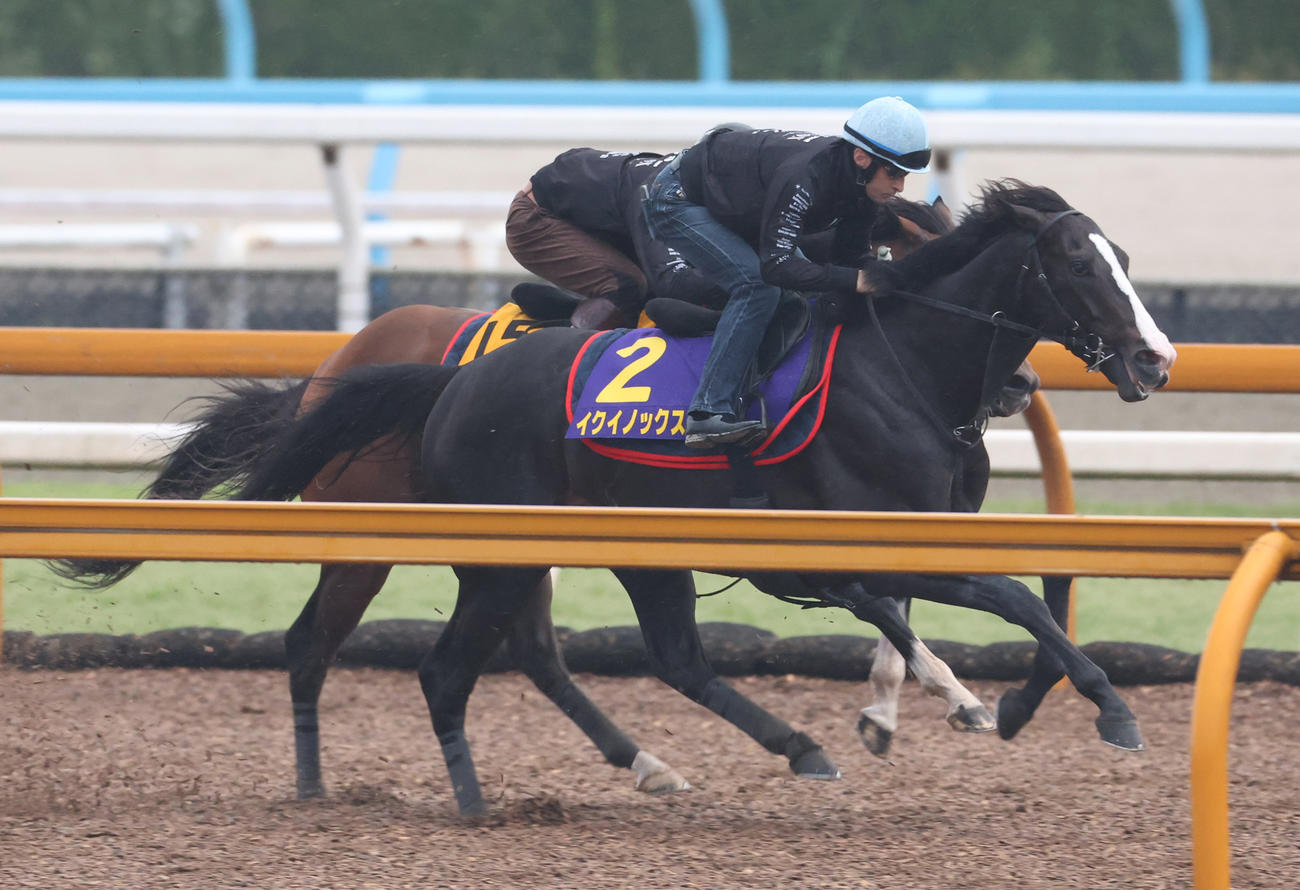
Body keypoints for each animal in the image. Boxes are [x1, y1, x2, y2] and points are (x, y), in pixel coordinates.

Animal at [51, 199, 1004, 801]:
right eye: (900, 251)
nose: (1019, 381)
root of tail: (334, 370)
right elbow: (884, 598)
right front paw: (938, 701)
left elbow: (895, 598)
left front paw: (925, 704)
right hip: (375, 538)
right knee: (317, 641)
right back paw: (318, 782)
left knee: (534, 652)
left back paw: (646, 762)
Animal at [200, 181, 1175, 815]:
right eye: (1079, 267)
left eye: (1126, 260)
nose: (1156, 358)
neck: (897, 366)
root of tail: (440, 380)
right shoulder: (860, 547)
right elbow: (1002, 598)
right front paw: (1098, 707)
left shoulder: (912, 540)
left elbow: (1013, 597)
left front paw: (986, 703)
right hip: (435, 545)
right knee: (371, 652)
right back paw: (384, 790)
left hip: (617, 549)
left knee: (653, 657)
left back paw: (734, 756)